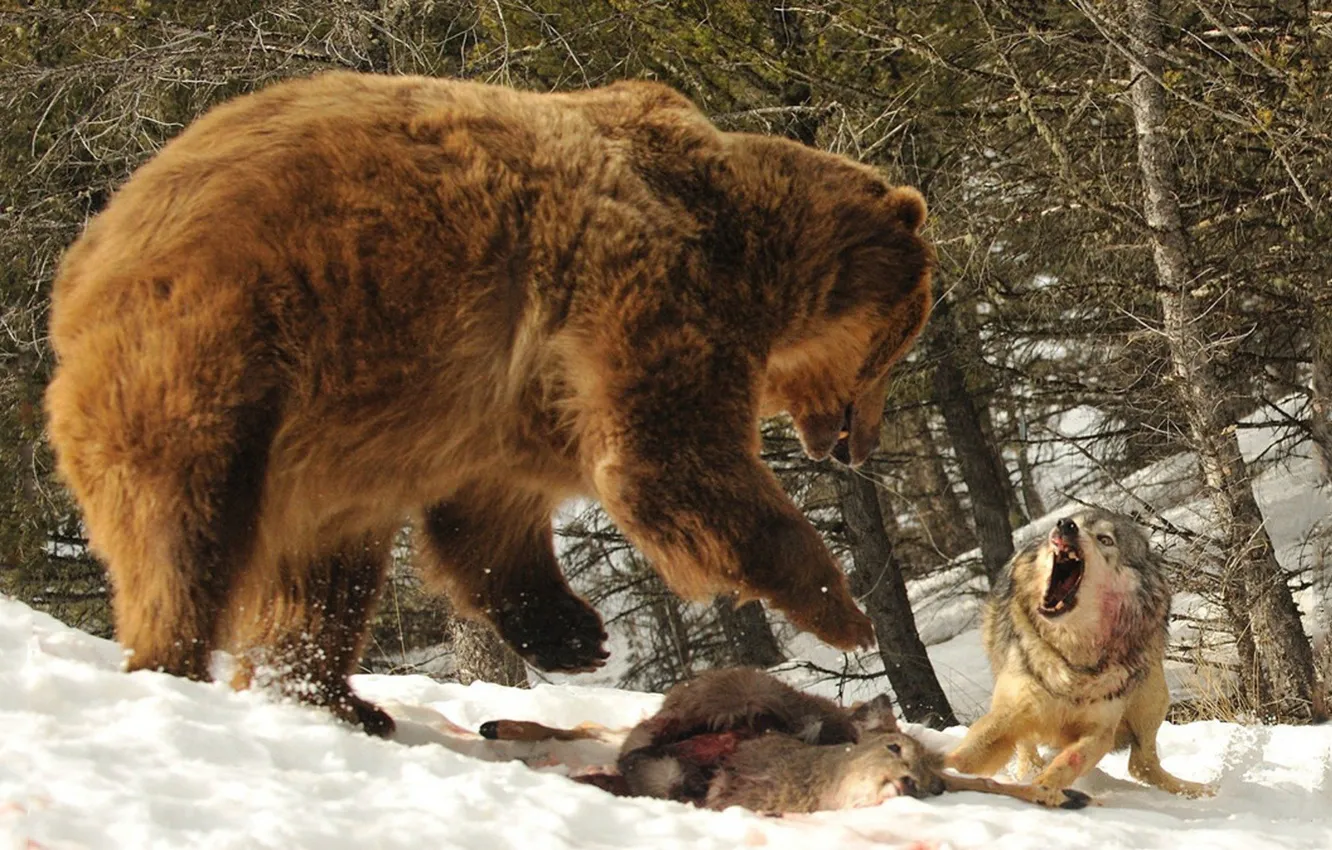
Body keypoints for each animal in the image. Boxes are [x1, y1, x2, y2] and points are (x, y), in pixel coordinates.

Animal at [44, 72, 933, 736]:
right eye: (898, 346)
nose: (857, 444)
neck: (753, 252)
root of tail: (83, 259)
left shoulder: (504, 400)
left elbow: (490, 513)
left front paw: (573, 633)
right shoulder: (648, 290)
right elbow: (670, 461)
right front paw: (843, 607)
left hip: (325, 438)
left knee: (322, 576)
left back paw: (335, 698)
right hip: (220, 347)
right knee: (184, 526)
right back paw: (178, 664)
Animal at [945, 508, 1212, 800]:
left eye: (1105, 539)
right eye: (1074, 522)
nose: (1066, 525)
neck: (1073, 657)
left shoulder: (1100, 733)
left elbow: (1066, 765)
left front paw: (1041, 790)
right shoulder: (1010, 714)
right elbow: (966, 757)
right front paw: (940, 769)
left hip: (1153, 696)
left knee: (1142, 765)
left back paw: (1200, 790)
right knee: (1028, 750)